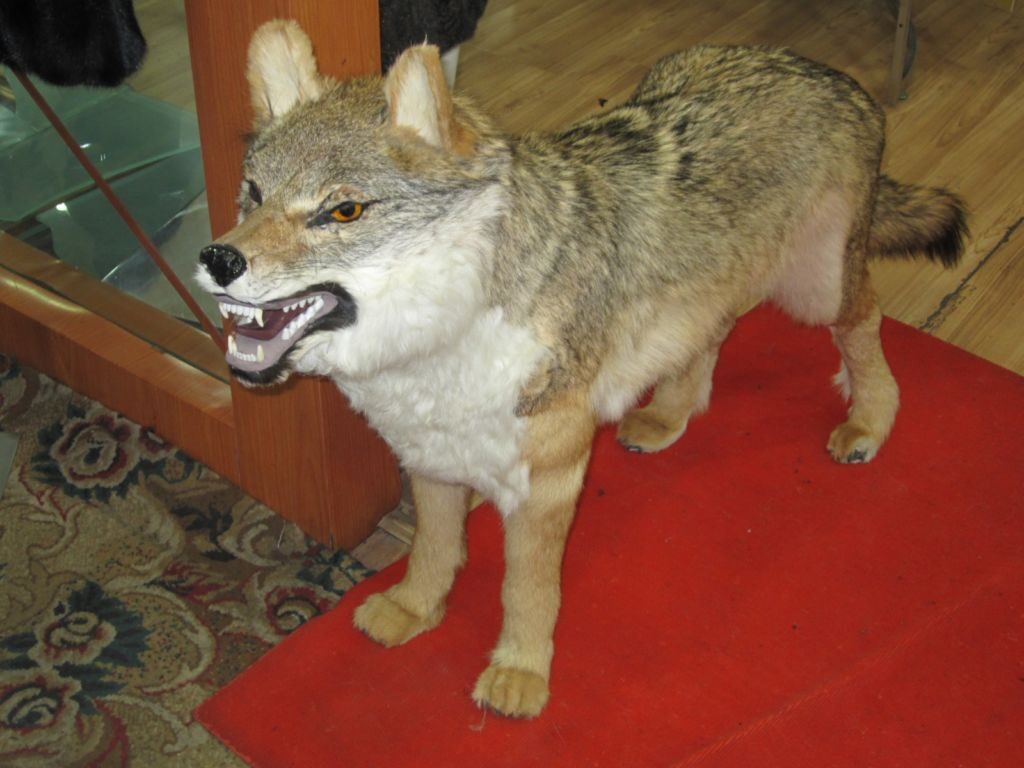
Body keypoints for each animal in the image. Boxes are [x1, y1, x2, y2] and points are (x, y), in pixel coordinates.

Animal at [196, 20, 966, 718]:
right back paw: (668, 418)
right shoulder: (430, 455)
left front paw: (519, 676)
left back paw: (868, 423)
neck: (441, 342)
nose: (217, 258)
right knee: (712, 335)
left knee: (865, 327)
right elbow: (433, 548)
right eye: (253, 193)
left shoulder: (550, 480)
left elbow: (527, 590)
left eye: (343, 210)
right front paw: (414, 611)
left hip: (816, 291)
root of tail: (826, 72)